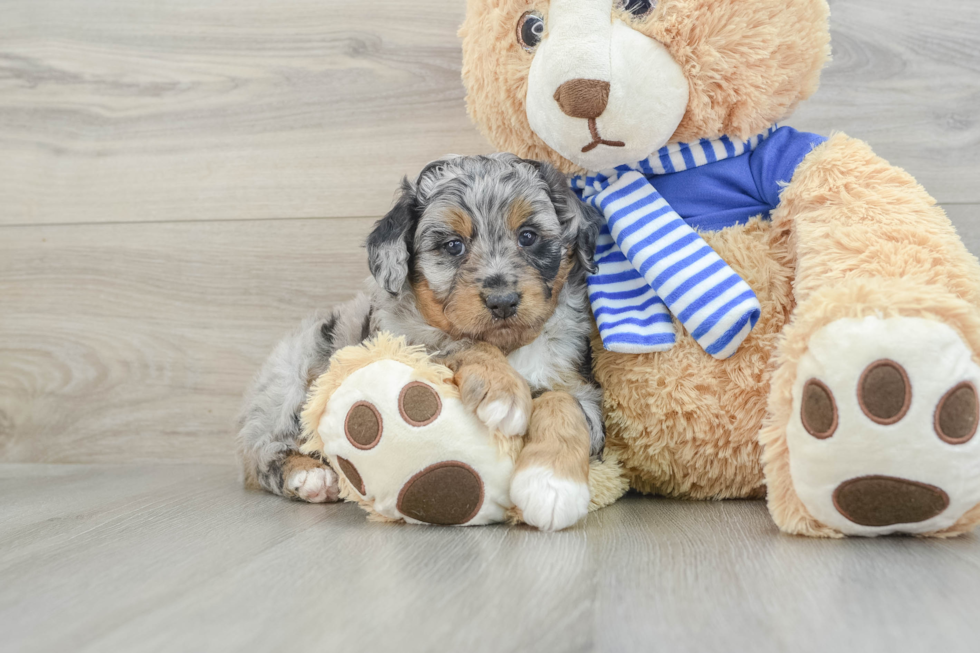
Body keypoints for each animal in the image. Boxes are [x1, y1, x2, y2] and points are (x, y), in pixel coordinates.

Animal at [237, 154, 604, 528]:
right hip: (289, 382)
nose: (502, 301)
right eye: (453, 245)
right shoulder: (405, 344)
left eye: (528, 236)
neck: (509, 347)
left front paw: (551, 485)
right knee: (260, 452)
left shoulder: (582, 391)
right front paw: (502, 391)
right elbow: (464, 343)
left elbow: (563, 401)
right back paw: (309, 476)